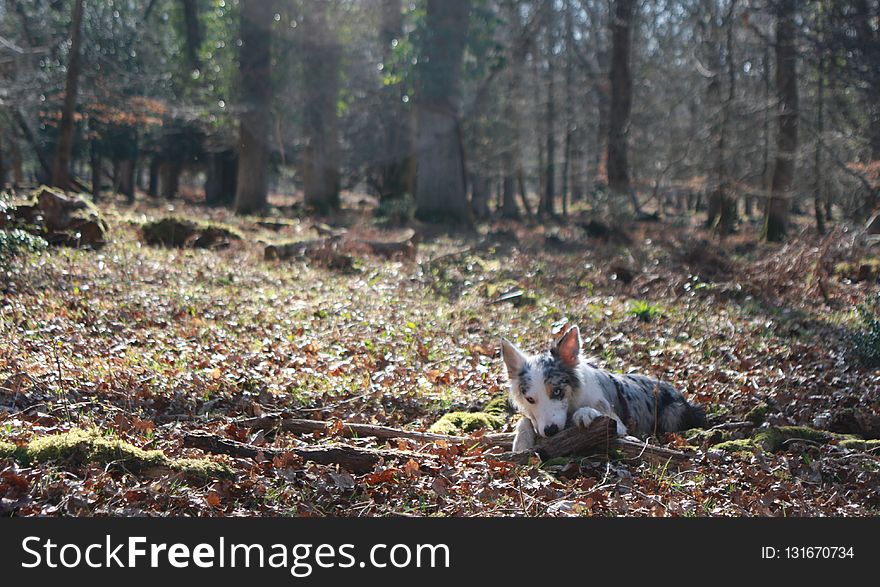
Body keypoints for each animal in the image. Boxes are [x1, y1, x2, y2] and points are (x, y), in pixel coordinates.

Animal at [502, 324, 708, 452]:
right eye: (530, 399)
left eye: (557, 391)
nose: (550, 430)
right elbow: (524, 421)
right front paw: (521, 443)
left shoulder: (618, 425)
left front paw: (585, 414)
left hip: (672, 414)